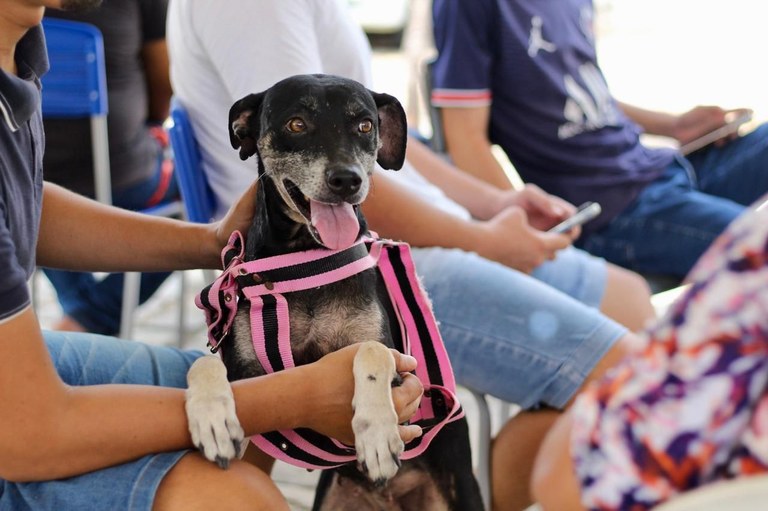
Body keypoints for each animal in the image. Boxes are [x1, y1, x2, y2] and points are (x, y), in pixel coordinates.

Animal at [184, 75, 480, 511]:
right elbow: (204, 362)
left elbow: (371, 350)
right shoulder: (249, 375)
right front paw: (211, 416)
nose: (347, 180)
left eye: (365, 125)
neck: (306, 260)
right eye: (296, 124)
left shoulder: (401, 366)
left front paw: (377, 432)